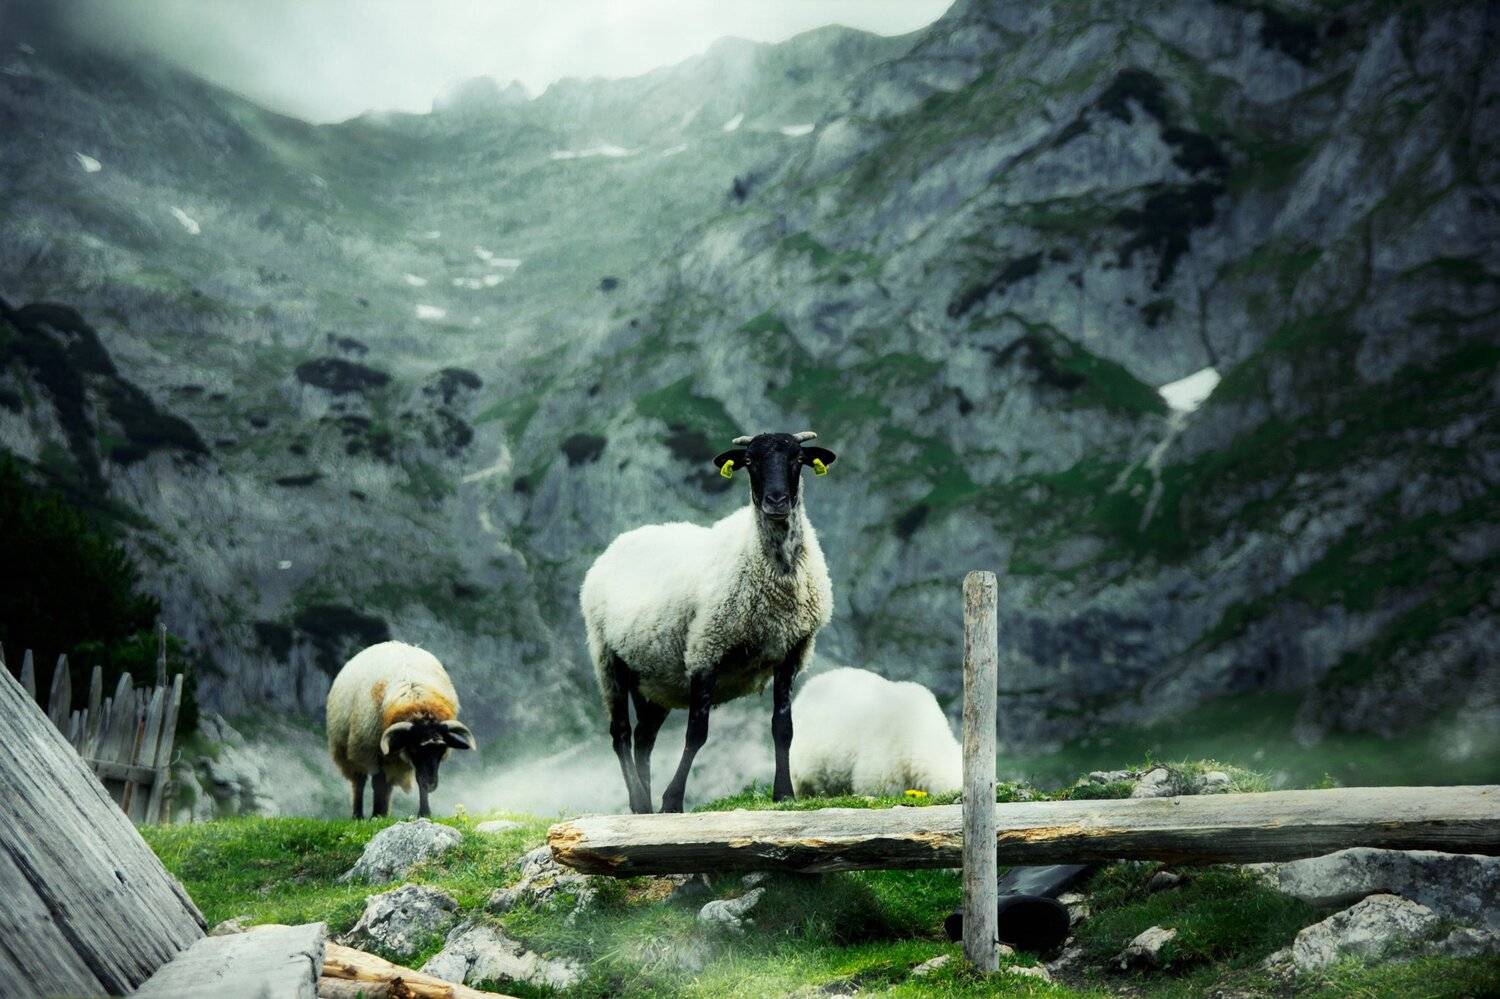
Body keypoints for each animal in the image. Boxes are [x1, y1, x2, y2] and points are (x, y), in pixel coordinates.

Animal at [326, 640, 476, 818]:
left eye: (441, 749)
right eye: (416, 749)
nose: (432, 784)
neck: (417, 703)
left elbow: (417, 779)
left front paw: (424, 813)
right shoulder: (375, 749)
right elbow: (377, 782)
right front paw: (376, 815)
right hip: (351, 748)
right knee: (359, 780)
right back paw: (359, 815)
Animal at [580, 430, 838, 813]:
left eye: (797, 458)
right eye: (750, 461)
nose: (776, 501)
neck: (773, 565)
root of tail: (618, 542)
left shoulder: (791, 651)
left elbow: (783, 726)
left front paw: (784, 793)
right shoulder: (706, 647)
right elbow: (697, 732)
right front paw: (672, 801)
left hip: (654, 678)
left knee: (644, 737)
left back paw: (646, 805)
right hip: (607, 658)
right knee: (621, 734)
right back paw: (640, 802)